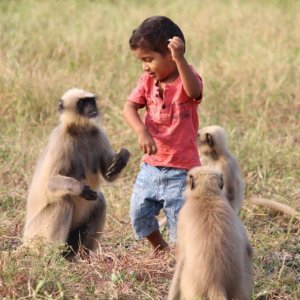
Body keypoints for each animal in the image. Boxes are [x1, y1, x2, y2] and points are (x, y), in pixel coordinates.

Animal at [23, 87, 130, 258]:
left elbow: (109, 176)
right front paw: (78, 188)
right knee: (62, 203)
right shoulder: (60, 140)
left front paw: (121, 158)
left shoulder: (98, 133)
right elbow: (50, 183)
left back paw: (81, 256)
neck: (80, 129)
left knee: (100, 201)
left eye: (91, 101)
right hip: (35, 236)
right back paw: (54, 256)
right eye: (82, 103)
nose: (92, 107)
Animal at [168, 166, 252, 300]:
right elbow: (248, 249)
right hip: (239, 288)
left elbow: (180, 259)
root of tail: (216, 284)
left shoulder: (182, 217)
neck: (206, 195)